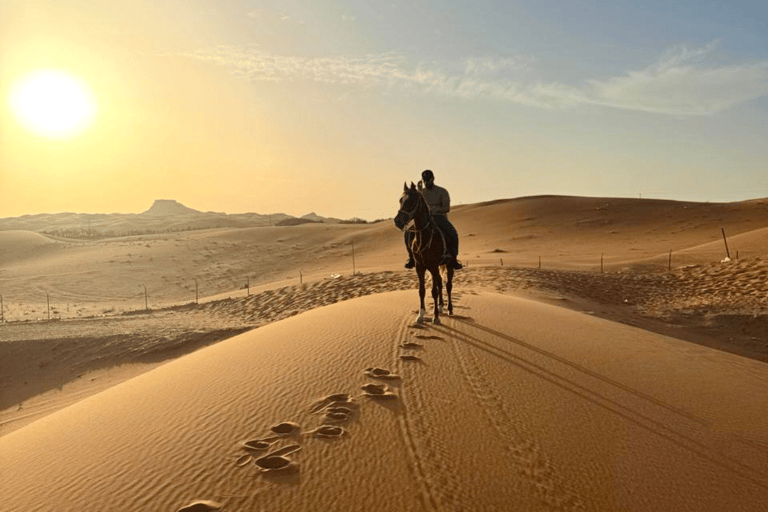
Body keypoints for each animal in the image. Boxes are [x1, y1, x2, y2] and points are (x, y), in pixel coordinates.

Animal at [394, 181, 454, 325]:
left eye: (412, 201)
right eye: (400, 200)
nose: (397, 221)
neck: (424, 237)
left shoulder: (432, 266)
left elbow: (434, 291)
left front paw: (435, 317)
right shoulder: (420, 267)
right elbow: (422, 290)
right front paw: (421, 315)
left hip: (449, 265)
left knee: (448, 285)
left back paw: (449, 309)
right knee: (440, 283)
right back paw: (441, 307)